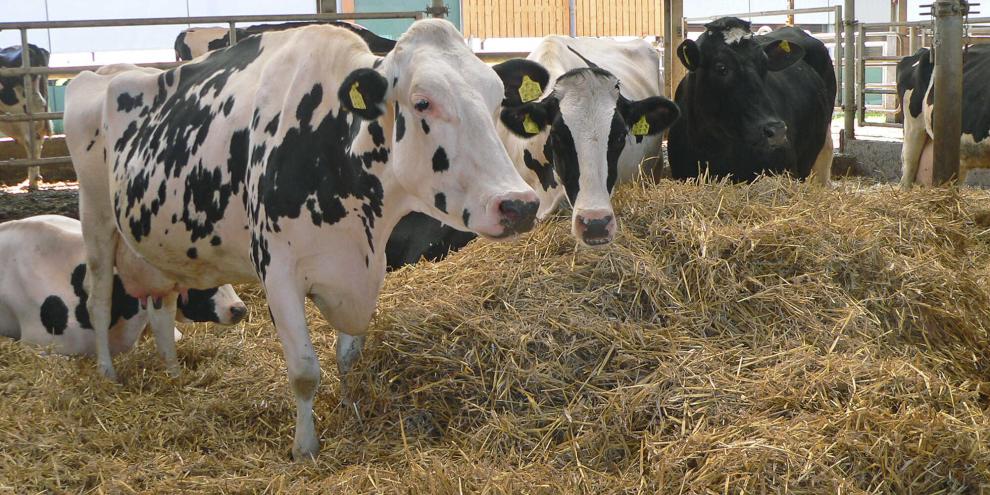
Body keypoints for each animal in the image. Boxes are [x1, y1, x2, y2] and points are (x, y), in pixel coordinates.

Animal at [64, 20, 543, 459]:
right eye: (422, 101)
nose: (518, 204)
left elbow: (348, 356)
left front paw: (351, 409)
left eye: (498, 99)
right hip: (95, 214)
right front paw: (305, 447)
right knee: (100, 295)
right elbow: (305, 371)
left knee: (161, 309)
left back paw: (174, 372)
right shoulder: (278, 272)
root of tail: (103, 74)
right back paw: (107, 371)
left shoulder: (364, 268)